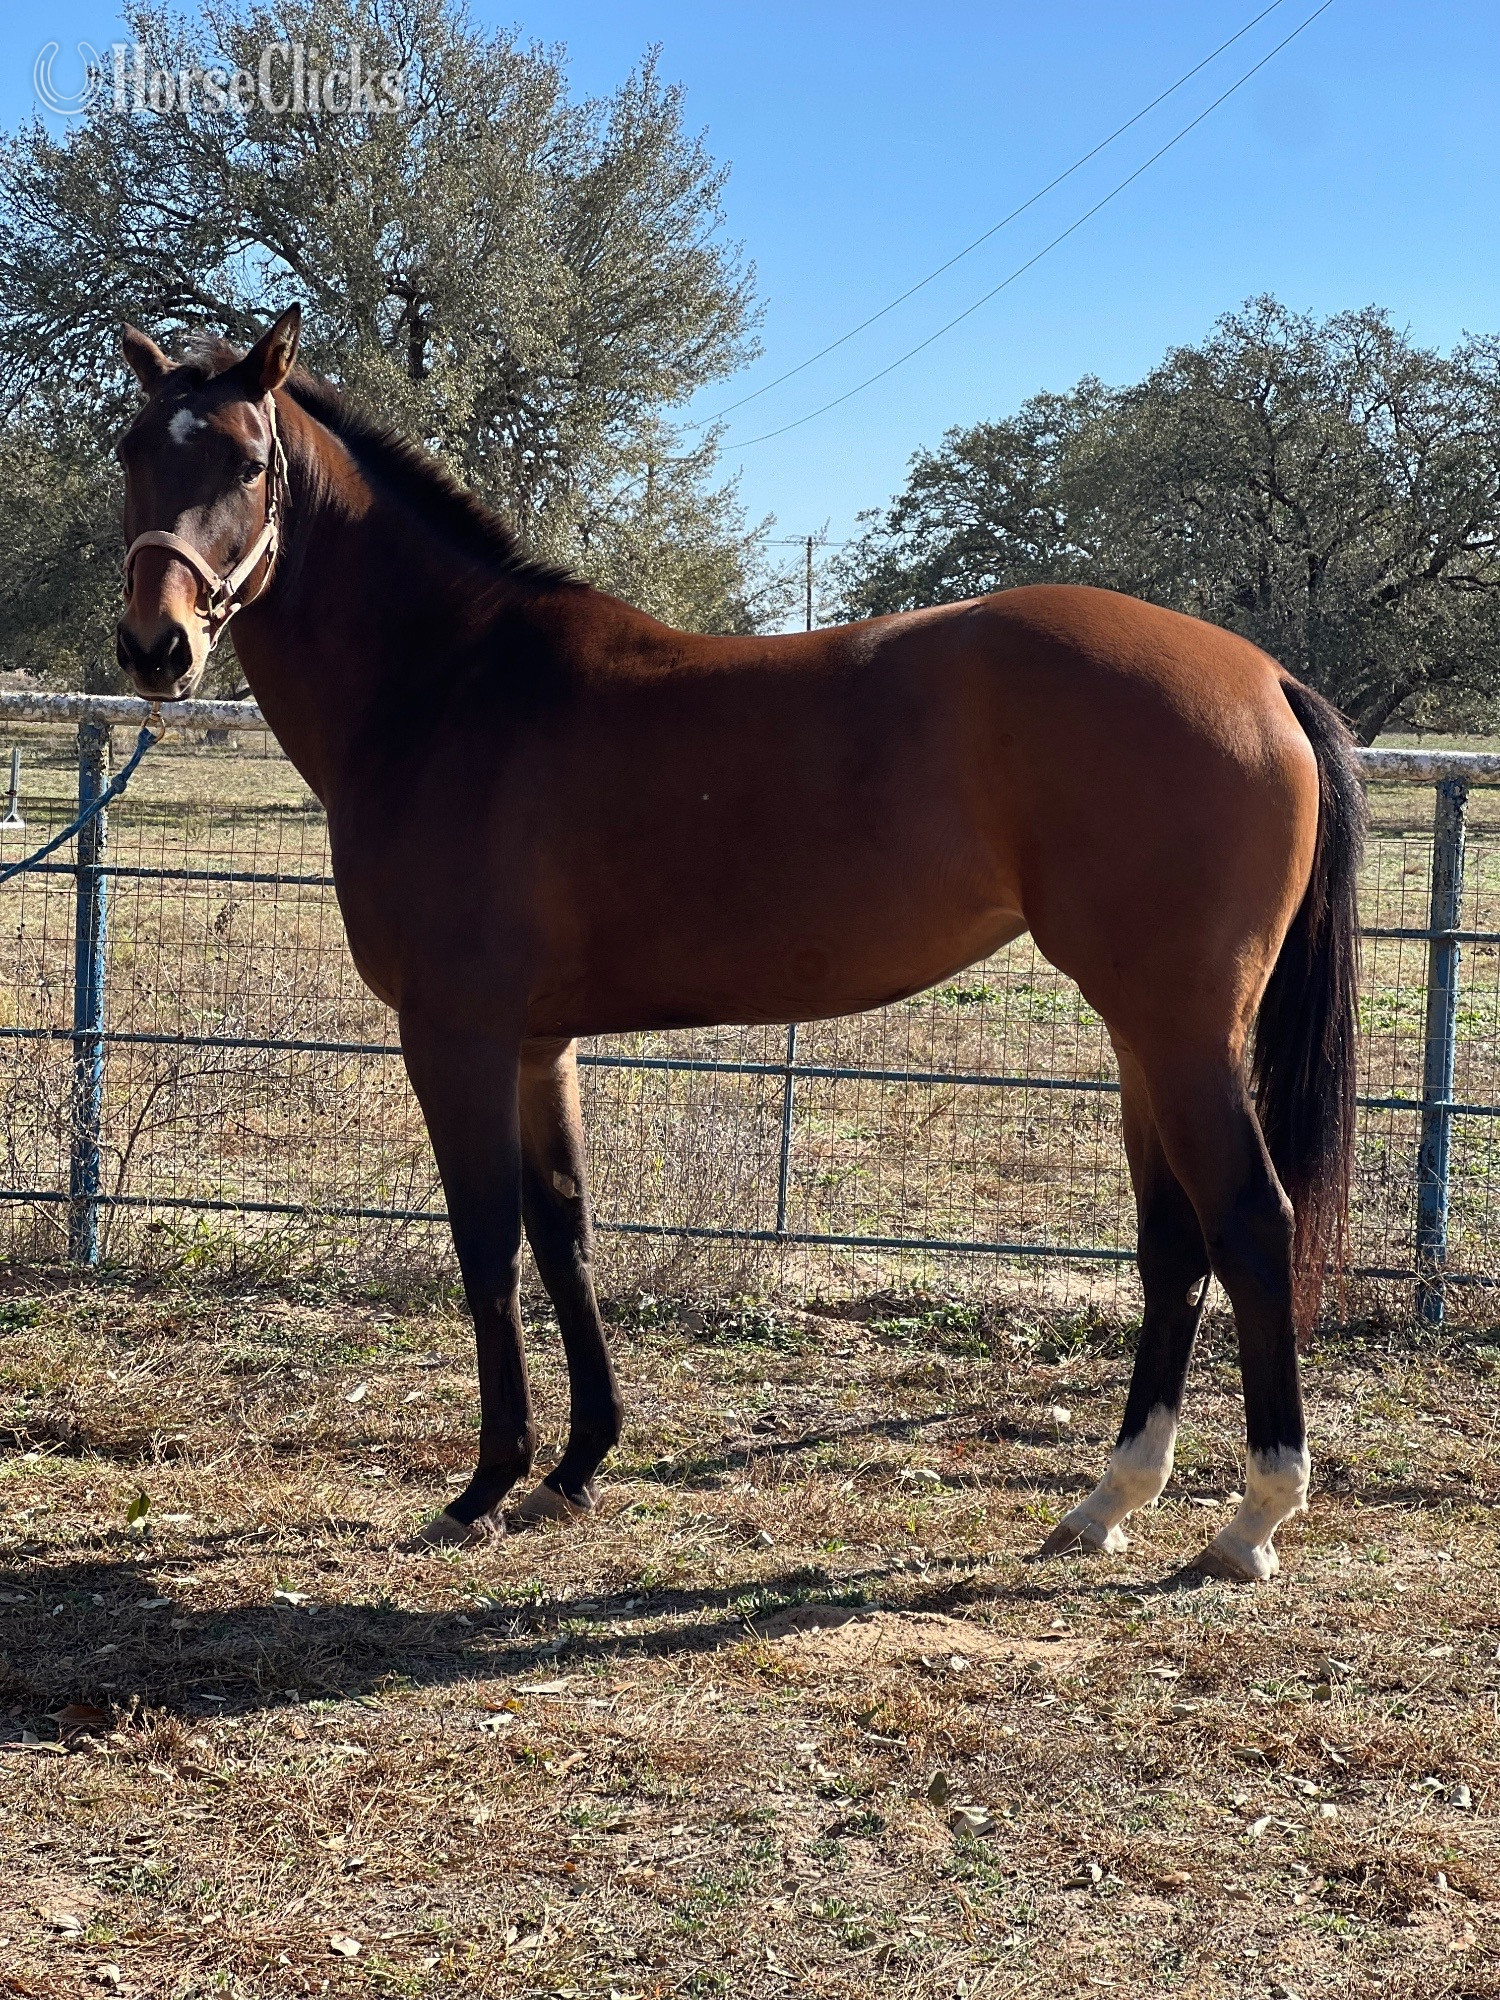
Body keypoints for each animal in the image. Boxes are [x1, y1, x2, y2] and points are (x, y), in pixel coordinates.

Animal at [113, 307, 1365, 1581]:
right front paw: (575, 1467)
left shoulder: (454, 1033)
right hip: (1140, 1032)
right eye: (130, 452)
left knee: (1249, 1222)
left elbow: (487, 1244)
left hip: (1181, 1027)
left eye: (248, 463)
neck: (451, 686)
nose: (155, 647)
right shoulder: (539, 1043)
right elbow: (565, 1229)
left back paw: (1253, 1515)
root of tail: (1264, 676)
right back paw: (1110, 1498)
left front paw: (485, 1485)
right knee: (1173, 1243)